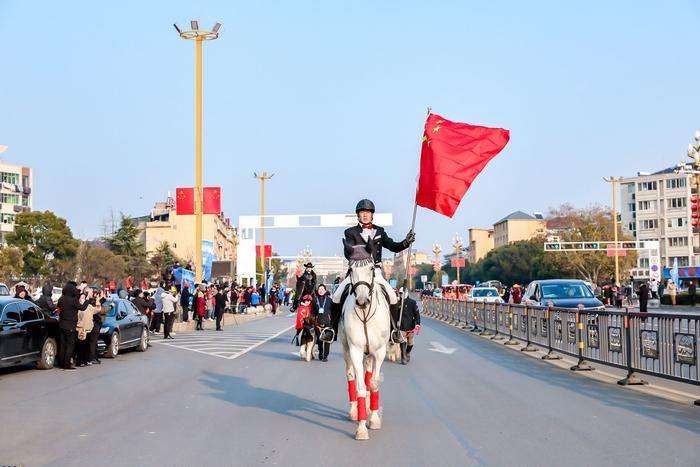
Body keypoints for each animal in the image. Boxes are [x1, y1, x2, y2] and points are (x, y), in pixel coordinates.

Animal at [338, 241, 392, 442]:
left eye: (371, 268)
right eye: (350, 270)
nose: (361, 301)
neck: (365, 314)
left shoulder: (380, 351)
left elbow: (374, 383)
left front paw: (374, 419)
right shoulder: (355, 349)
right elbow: (360, 386)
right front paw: (361, 428)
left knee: (368, 373)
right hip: (346, 348)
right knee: (351, 376)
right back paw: (354, 410)